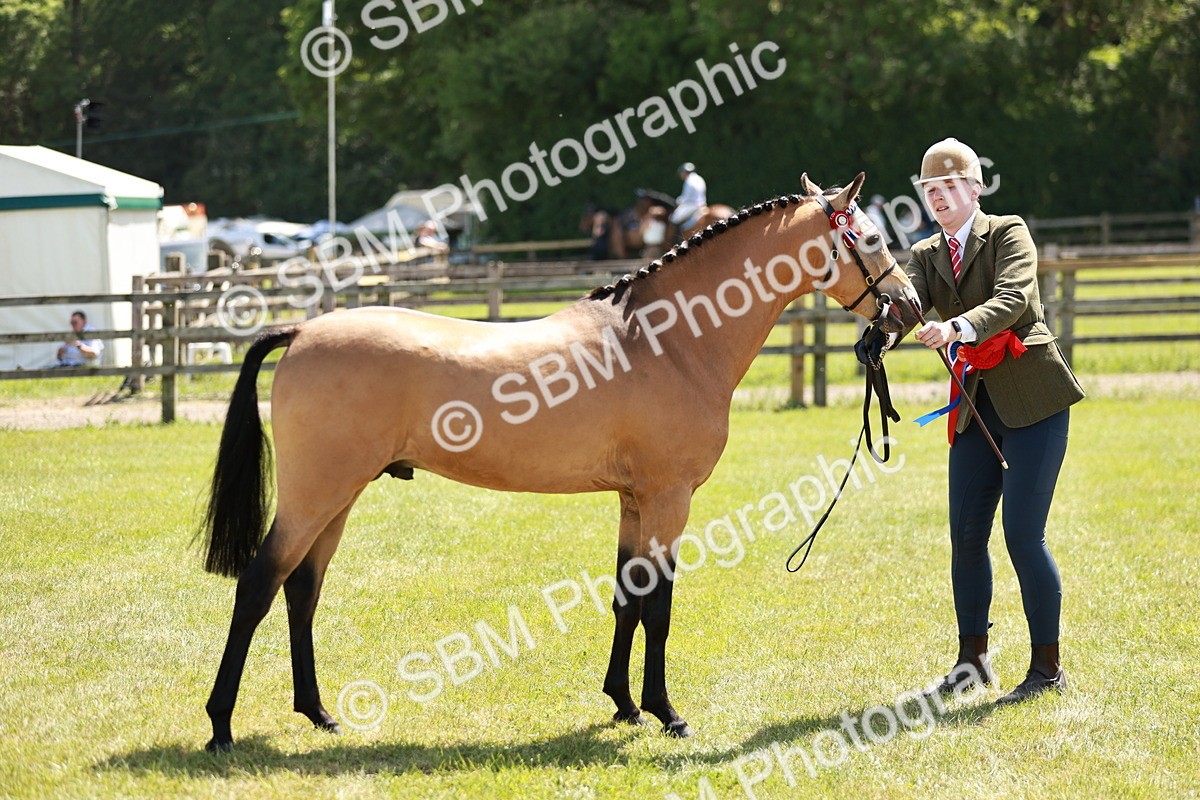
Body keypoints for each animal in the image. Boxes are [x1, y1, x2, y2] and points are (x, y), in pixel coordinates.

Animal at [199, 172, 920, 751]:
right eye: (872, 238)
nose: (910, 308)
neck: (667, 342)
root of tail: (302, 330)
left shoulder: (634, 500)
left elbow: (627, 598)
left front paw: (624, 705)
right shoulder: (669, 499)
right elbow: (659, 606)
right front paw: (667, 713)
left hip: (339, 497)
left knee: (302, 591)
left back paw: (318, 713)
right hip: (314, 494)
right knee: (258, 586)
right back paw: (221, 726)